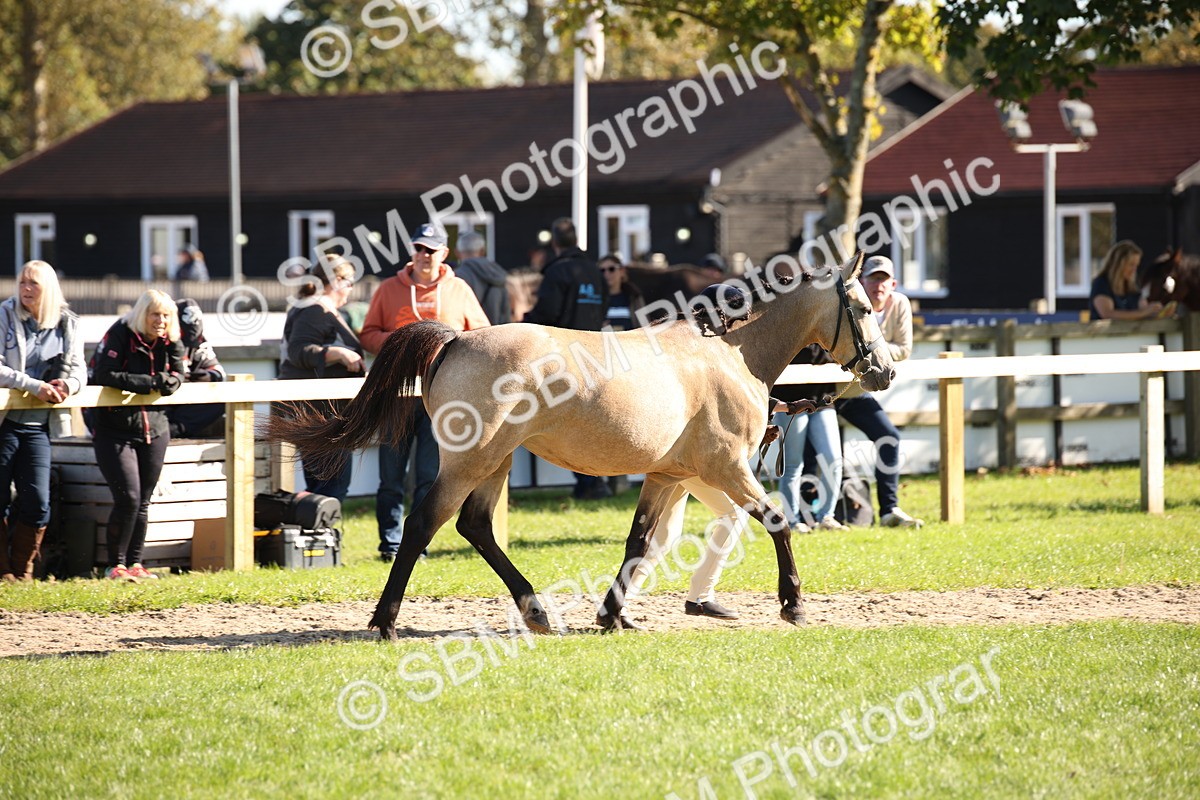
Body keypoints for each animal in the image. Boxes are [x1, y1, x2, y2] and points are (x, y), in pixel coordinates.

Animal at [270, 252, 895, 640]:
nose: (885, 370)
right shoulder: (728, 468)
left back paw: (537, 610)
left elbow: (640, 541)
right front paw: (794, 603)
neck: (728, 352)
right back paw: (386, 621)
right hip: (469, 461)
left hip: (495, 462)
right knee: (424, 523)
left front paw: (613, 615)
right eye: (865, 308)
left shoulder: (667, 477)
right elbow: (778, 520)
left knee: (475, 526)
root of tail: (456, 340)